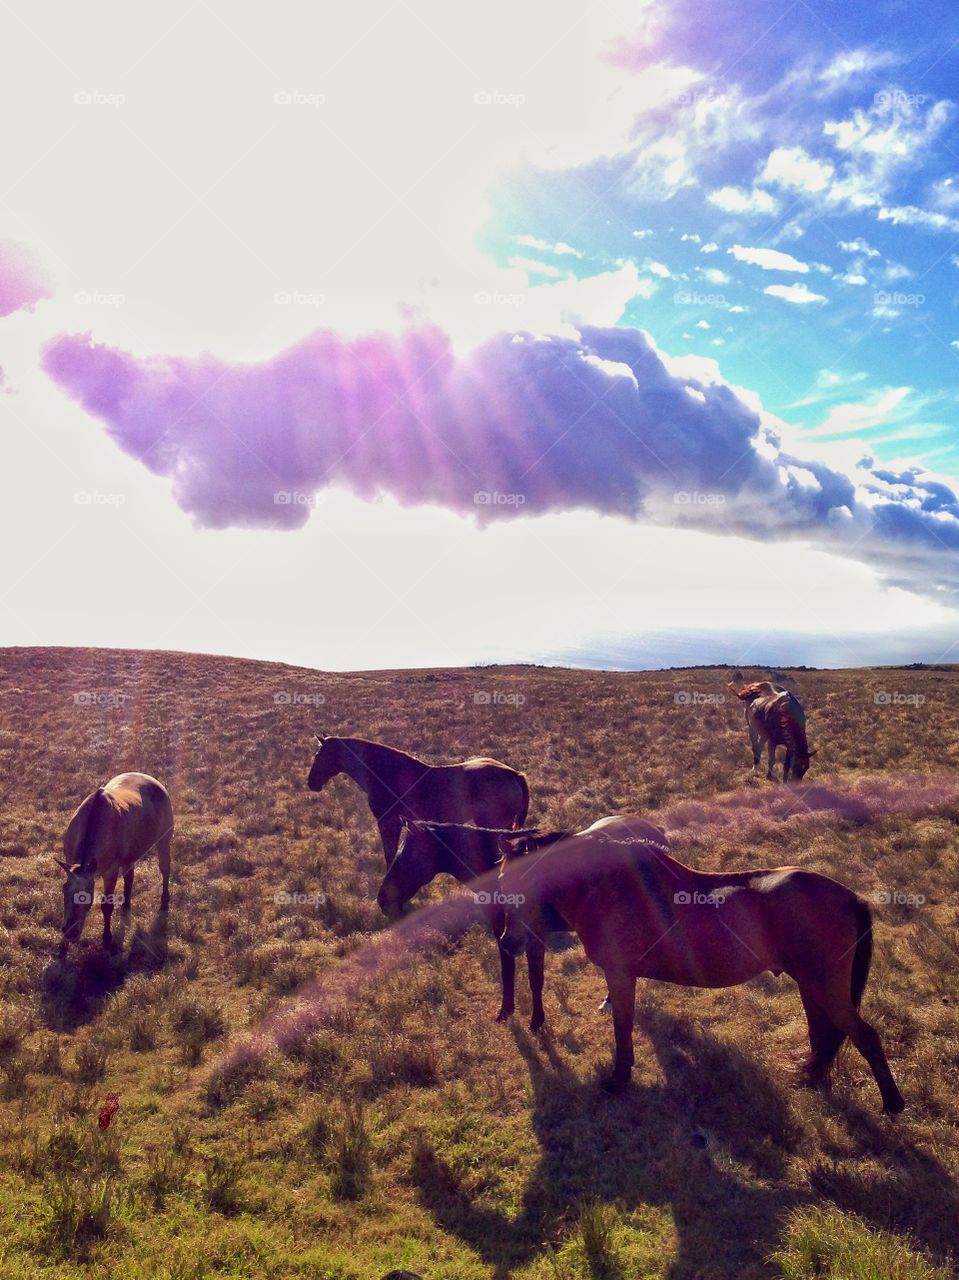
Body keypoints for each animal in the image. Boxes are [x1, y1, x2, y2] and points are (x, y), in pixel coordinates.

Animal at [55, 772, 174, 957]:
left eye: (87, 894)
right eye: (64, 889)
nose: (70, 931)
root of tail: (157, 782)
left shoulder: (110, 871)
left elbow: (106, 905)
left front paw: (107, 939)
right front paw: (63, 946)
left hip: (164, 840)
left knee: (165, 869)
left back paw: (164, 903)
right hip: (130, 854)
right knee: (129, 875)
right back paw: (125, 906)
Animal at [307, 735, 529, 865]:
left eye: (318, 755)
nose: (311, 783)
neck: (387, 773)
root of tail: (513, 774)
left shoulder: (388, 822)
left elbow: (390, 853)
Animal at [497, 814, 904, 1114]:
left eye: (525, 880)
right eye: (502, 880)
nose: (508, 941)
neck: (604, 887)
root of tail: (850, 897)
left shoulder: (620, 975)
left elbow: (622, 1028)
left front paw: (619, 1077)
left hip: (825, 985)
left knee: (864, 1035)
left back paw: (893, 1104)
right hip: (811, 985)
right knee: (822, 1033)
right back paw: (813, 1077)